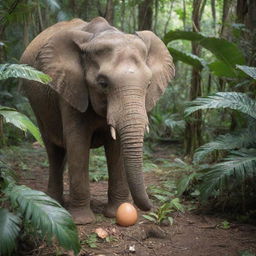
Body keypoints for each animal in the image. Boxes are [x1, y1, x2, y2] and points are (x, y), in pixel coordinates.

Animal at [21, 16, 175, 224]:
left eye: (149, 83)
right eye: (103, 84)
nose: (153, 207)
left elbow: (115, 148)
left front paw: (116, 211)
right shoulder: (71, 89)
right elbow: (77, 143)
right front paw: (82, 221)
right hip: (38, 105)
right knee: (54, 150)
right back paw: (54, 203)